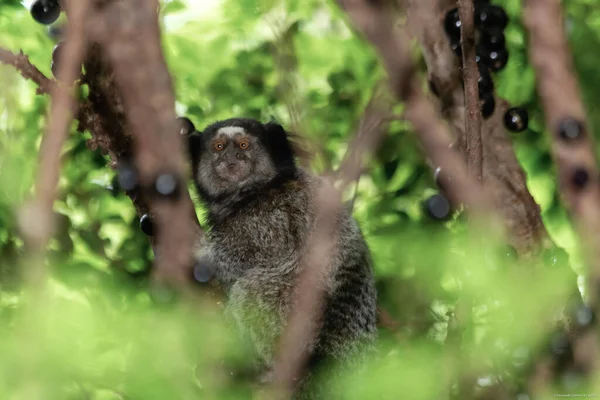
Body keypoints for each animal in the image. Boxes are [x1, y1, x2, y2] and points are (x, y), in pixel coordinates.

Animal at [188, 116, 378, 396]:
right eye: (219, 147)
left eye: (244, 145)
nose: (231, 157)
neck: (252, 193)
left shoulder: (272, 217)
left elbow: (255, 256)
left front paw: (201, 251)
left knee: (251, 290)